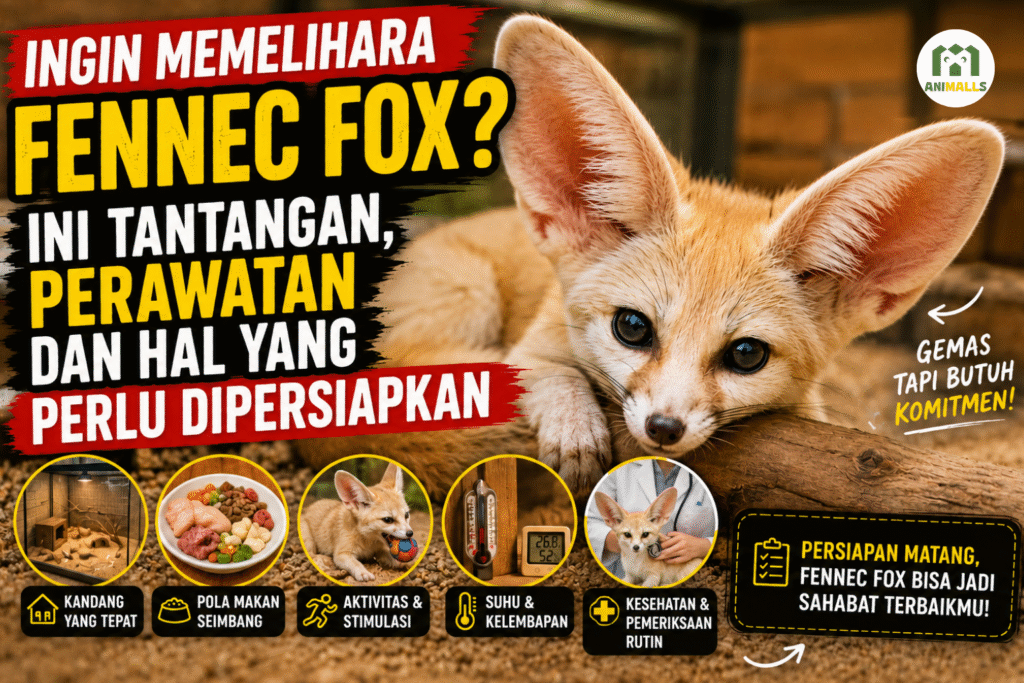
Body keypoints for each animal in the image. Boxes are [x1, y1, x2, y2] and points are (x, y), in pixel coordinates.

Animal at [297, 16, 1005, 497]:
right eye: (632, 328)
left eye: (746, 355)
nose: (664, 427)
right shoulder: (531, 344)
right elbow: (534, 370)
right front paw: (573, 424)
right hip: (468, 293)